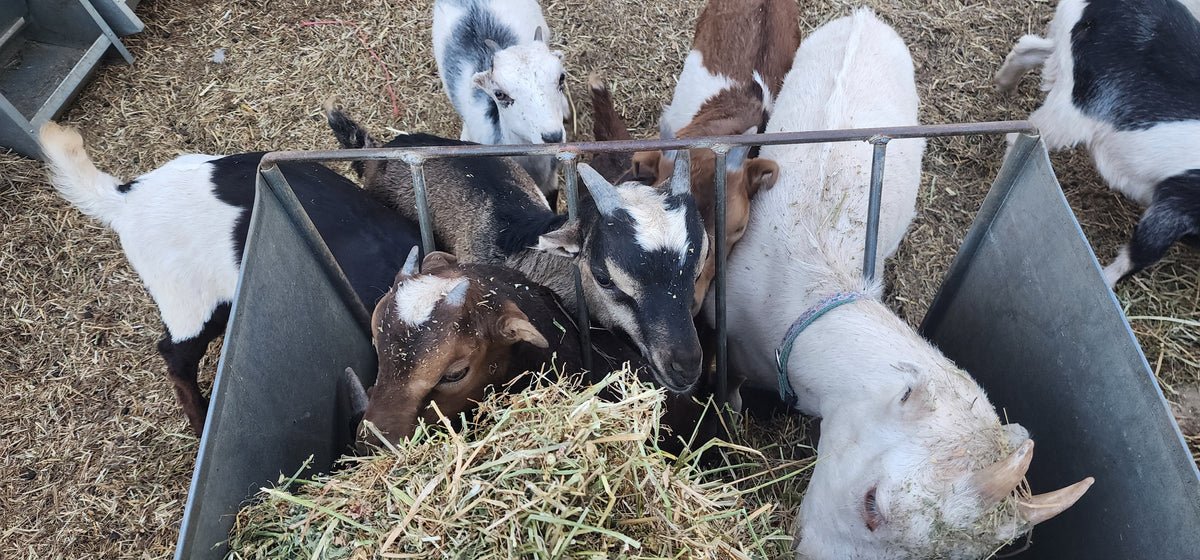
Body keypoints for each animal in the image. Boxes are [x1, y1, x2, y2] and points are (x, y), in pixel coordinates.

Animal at [995, 0, 1200, 288]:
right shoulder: (1178, 202)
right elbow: (1141, 253)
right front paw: (1105, 283)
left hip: (1064, 55)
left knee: (1029, 47)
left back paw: (1003, 86)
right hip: (1075, 109)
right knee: (1024, 135)